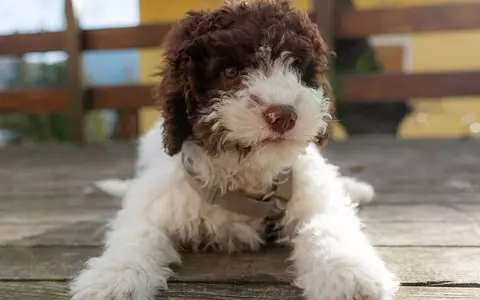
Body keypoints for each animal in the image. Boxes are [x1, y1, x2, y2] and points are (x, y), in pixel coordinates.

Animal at [69, 1, 398, 298]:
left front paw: (348, 272)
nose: (284, 116)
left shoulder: (309, 193)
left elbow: (328, 224)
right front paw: (113, 278)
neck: (244, 178)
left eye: (296, 69)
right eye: (229, 71)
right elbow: (138, 232)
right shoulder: (156, 200)